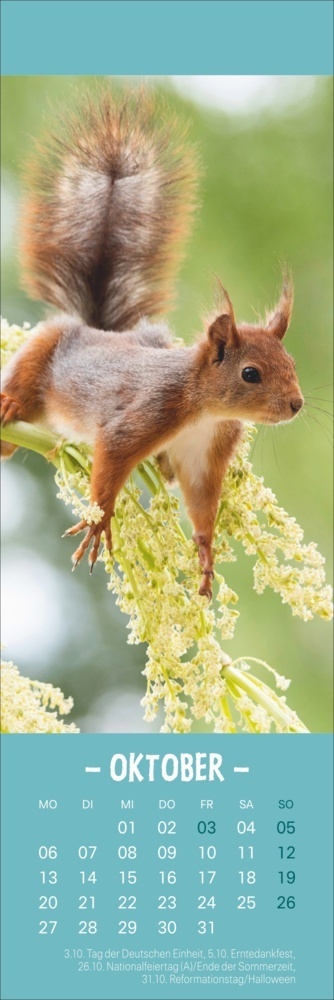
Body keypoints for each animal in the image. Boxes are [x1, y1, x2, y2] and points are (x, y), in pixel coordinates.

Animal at [0, 88, 304, 592]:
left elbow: (202, 502)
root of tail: (98, 330)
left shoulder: (204, 454)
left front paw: (205, 551)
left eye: (293, 364)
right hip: (44, 353)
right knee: (23, 380)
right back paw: (8, 410)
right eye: (250, 374)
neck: (204, 409)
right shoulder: (144, 415)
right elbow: (109, 465)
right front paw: (100, 521)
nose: (297, 404)